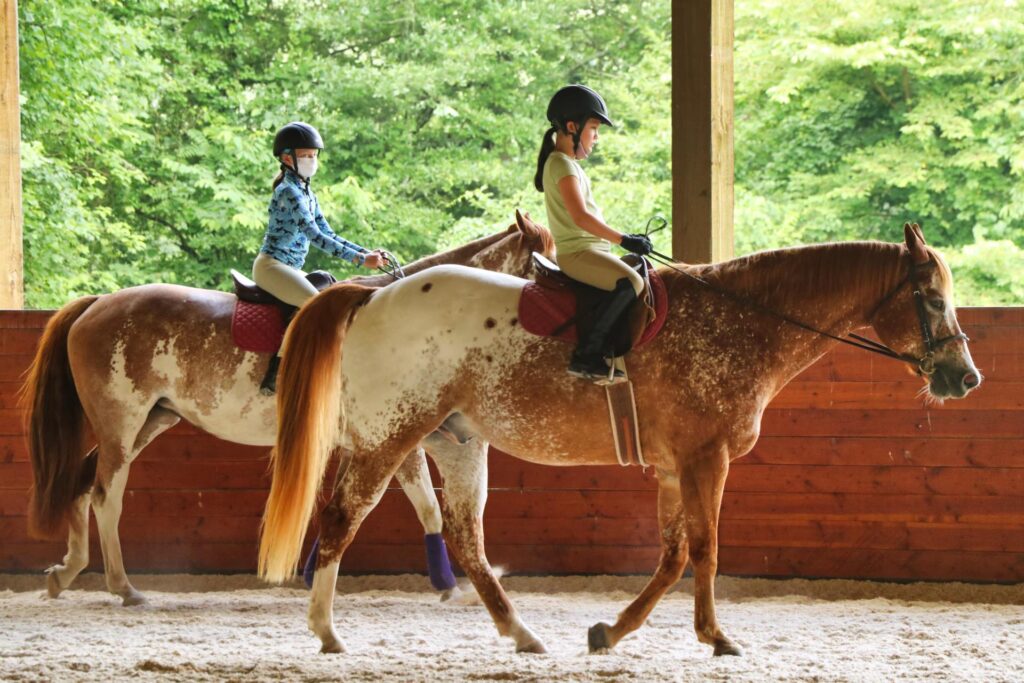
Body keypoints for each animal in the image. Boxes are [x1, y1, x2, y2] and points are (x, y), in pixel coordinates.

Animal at [22, 214, 552, 602]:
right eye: (541, 268)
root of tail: (96, 305)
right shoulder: (395, 437)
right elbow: (425, 505)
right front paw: (445, 585)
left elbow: (375, 506)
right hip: (122, 423)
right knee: (105, 496)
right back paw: (123, 587)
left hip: (146, 423)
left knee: (82, 484)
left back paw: (65, 574)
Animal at [260, 222, 978, 655]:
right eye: (932, 299)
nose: (965, 377)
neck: (745, 321)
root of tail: (372, 297)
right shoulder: (706, 458)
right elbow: (706, 548)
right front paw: (716, 636)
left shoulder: (676, 466)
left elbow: (673, 553)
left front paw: (612, 630)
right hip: (391, 435)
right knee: (343, 518)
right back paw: (327, 631)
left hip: (456, 443)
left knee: (466, 539)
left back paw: (522, 633)